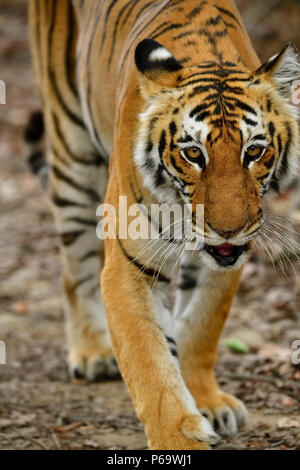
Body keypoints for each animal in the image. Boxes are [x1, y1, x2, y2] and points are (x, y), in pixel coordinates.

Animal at [27, 0, 298, 450]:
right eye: (193, 154)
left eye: (254, 151)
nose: (228, 229)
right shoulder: (128, 266)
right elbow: (150, 366)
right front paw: (178, 439)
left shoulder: (225, 261)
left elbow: (203, 326)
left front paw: (206, 400)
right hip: (71, 151)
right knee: (74, 268)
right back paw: (92, 352)